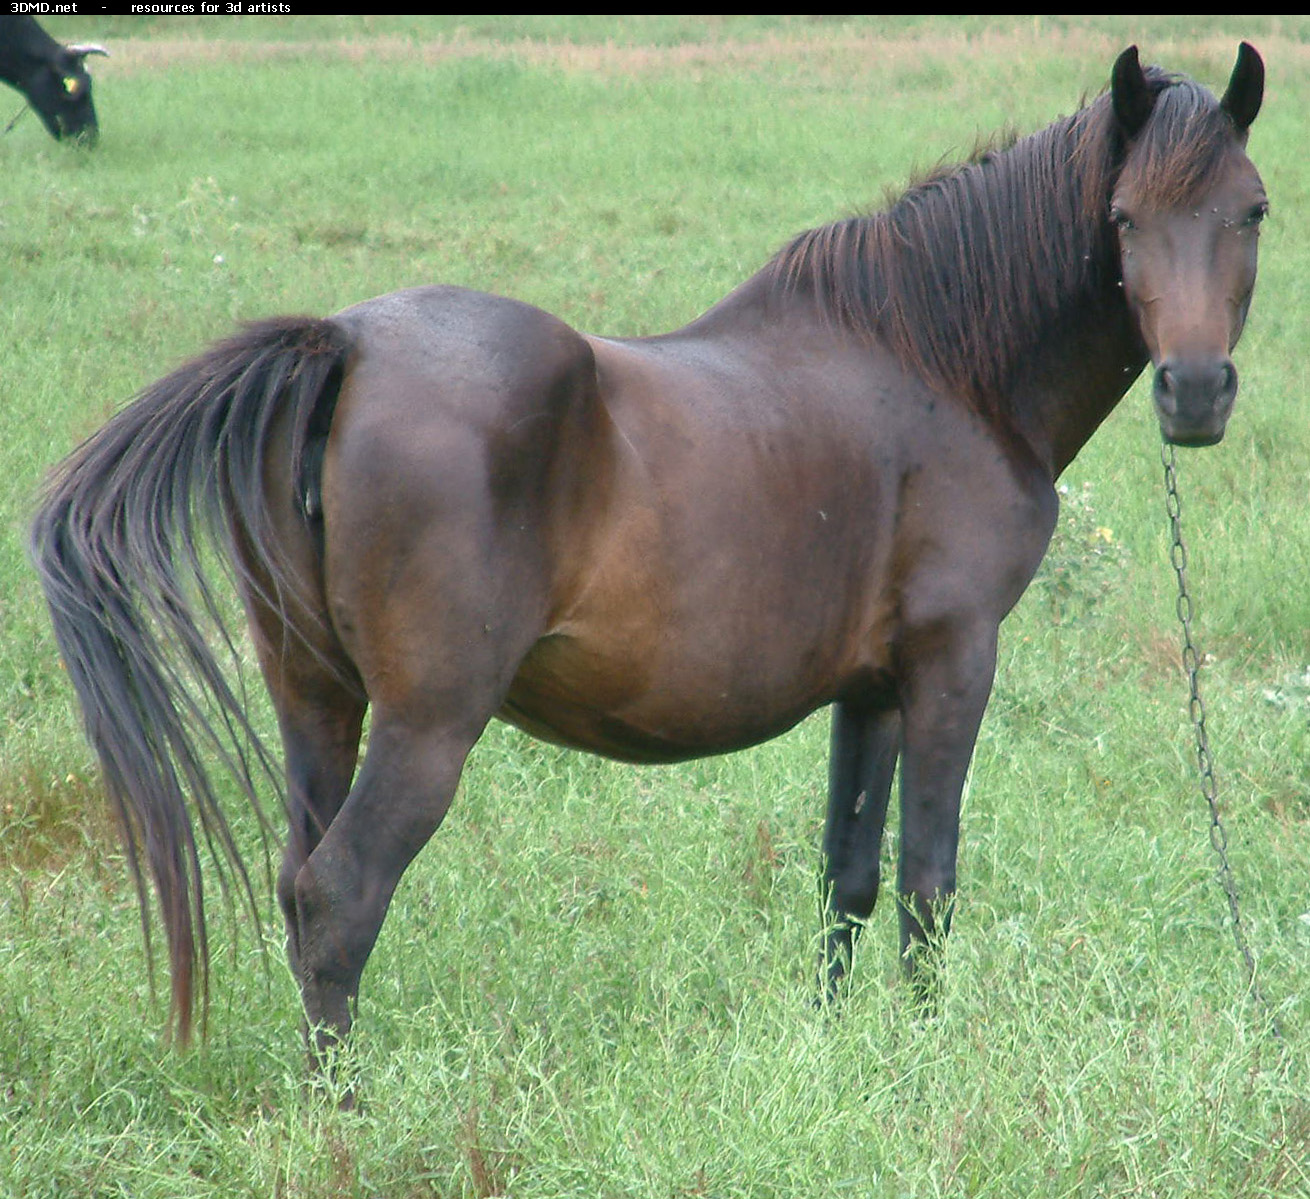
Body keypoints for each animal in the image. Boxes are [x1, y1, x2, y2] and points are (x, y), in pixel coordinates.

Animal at [28, 46, 1257, 1058]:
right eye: (1123, 217)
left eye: (1249, 210)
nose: (1194, 392)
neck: (939, 366)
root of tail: (348, 346)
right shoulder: (951, 660)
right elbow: (926, 877)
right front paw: (921, 1054)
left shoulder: (869, 688)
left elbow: (847, 877)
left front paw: (835, 1052)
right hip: (427, 725)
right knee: (339, 897)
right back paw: (344, 1114)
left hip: (315, 700)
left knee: (298, 884)